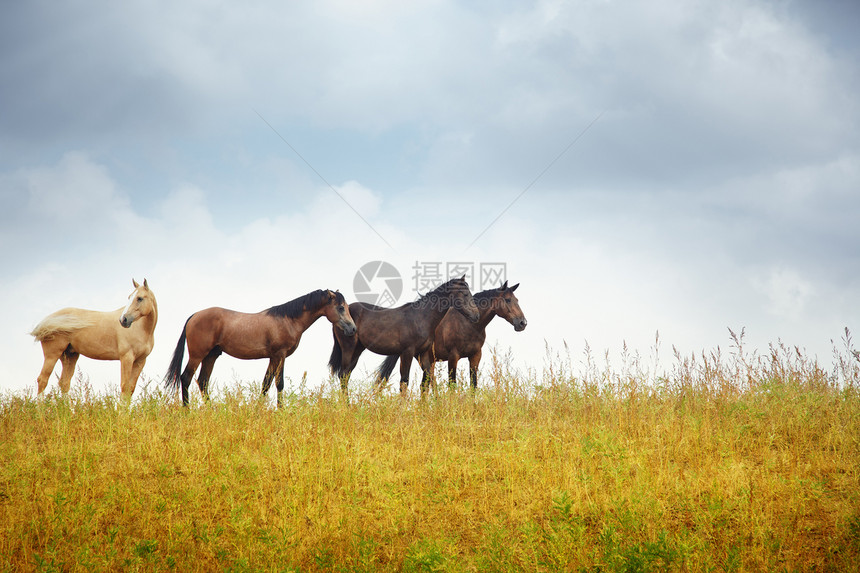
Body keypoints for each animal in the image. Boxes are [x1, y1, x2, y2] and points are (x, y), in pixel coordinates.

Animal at [30, 278, 158, 396]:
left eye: (139, 298)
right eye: (129, 297)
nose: (123, 320)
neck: (141, 329)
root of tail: (47, 322)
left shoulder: (140, 361)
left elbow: (130, 389)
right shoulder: (126, 358)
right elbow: (124, 386)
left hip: (69, 356)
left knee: (64, 383)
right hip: (52, 355)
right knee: (43, 380)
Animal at [165, 288, 356, 404]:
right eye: (340, 308)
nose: (353, 329)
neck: (288, 320)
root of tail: (194, 316)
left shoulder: (273, 357)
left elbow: (266, 383)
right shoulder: (280, 355)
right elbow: (279, 383)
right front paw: (281, 410)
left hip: (211, 356)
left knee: (203, 382)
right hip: (197, 355)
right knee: (185, 378)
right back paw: (187, 410)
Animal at [330, 274, 480, 396]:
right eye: (465, 294)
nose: (476, 315)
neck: (422, 317)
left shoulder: (422, 353)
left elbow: (428, 379)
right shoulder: (407, 352)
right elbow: (404, 382)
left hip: (357, 350)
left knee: (346, 375)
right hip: (348, 348)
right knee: (343, 375)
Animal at [380, 282, 528, 388]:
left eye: (517, 300)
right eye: (508, 300)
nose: (522, 323)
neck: (469, 324)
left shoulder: (475, 356)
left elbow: (473, 385)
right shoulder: (453, 356)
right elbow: (452, 384)